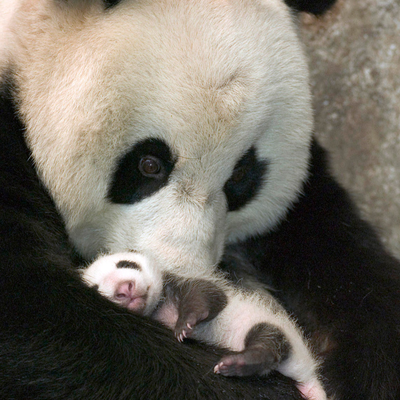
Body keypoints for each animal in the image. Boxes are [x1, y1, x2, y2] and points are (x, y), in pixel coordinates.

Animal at [0, 0, 398, 400]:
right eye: (149, 164)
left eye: (240, 175)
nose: (178, 270)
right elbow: (45, 321)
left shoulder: (304, 207)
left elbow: (346, 267)